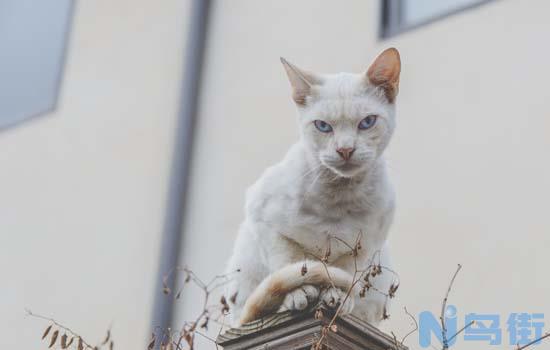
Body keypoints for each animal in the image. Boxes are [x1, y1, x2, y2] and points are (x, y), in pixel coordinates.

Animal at [223, 47, 402, 326]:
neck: (337, 199)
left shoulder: (365, 247)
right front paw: (297, 294)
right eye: (322, 126)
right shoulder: (265, 223)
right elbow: (289, 265)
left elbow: (344, 275)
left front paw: (337, 298)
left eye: (367, 122)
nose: (345, 150)